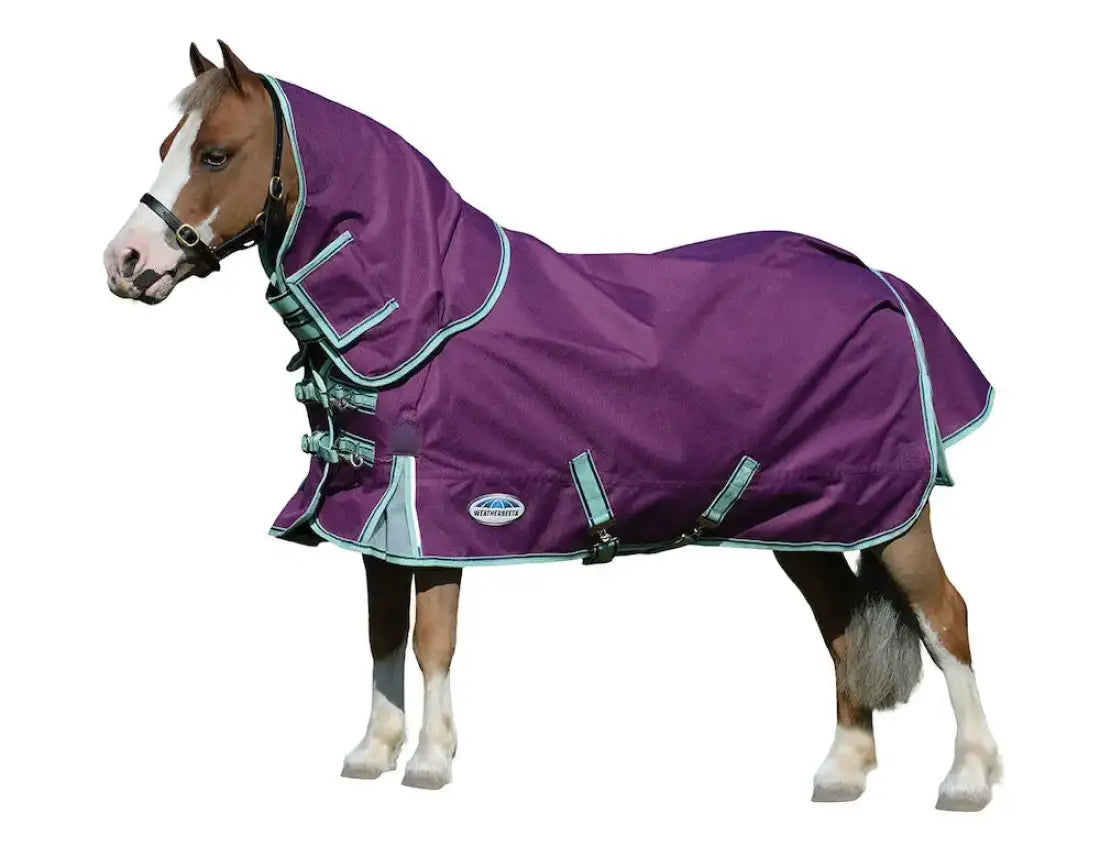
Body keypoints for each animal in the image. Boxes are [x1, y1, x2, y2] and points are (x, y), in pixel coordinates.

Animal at [103, 40, 1001, 810]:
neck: (426, 308)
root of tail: (878, 280)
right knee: (843, 625)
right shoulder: (378, 515)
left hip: (891, 514)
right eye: (166, 144)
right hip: (804, 518)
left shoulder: (440, 515)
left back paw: (967, 778)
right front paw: (372, 752)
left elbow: (432, 640)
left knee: (945, 616)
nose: (125, 263)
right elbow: (383, 633)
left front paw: (429, 764)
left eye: (216, 155)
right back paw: (843, 772)